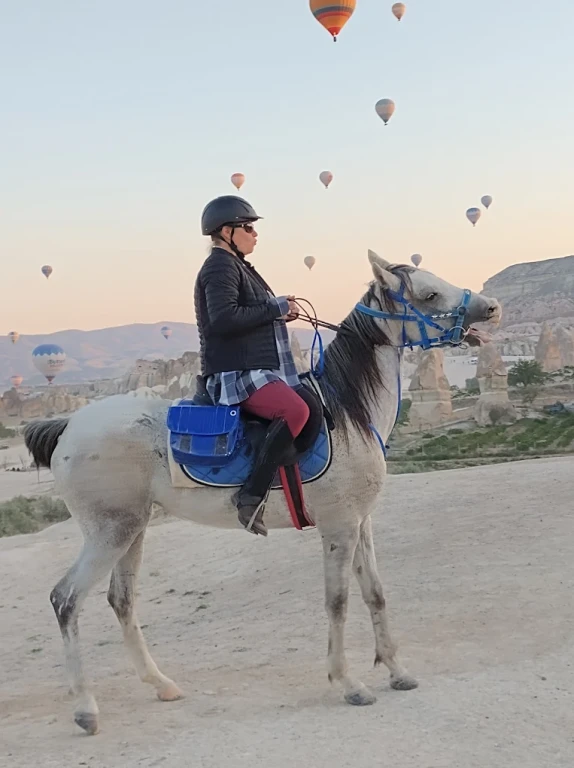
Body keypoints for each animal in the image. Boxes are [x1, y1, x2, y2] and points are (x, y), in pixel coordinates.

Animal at [24, 251, 501, 735]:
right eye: (429, 294)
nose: (491, 308)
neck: (348, 412)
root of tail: (69, 425)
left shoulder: (361, 523)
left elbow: (376, 594)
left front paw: (397, 671)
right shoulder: (339, 527)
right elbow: (338, 602)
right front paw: (348, 684)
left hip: (132, 531)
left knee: (121, 601)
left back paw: (161, 684)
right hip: (109, 534)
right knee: (66, 600)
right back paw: (86, 708)